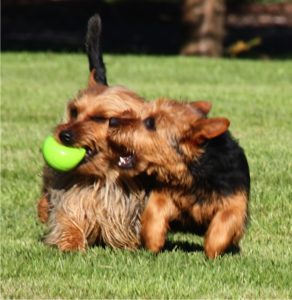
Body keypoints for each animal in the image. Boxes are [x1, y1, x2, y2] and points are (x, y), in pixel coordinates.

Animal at [108, 98, 250, 258]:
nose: (112, 120)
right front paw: (153, 241)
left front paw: (212, 251)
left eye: (150, 123)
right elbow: (154, 209)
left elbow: (225, 220)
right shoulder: (165, 192)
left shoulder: (235, 200)